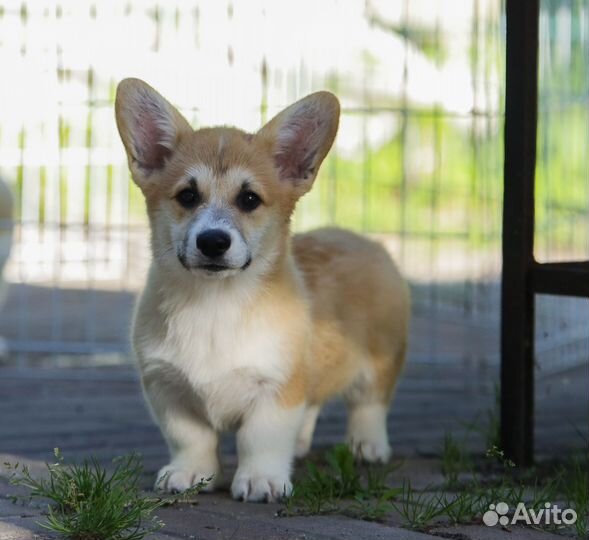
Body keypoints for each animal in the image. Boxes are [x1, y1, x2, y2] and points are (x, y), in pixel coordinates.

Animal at [115, 79, 408, 502]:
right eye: (187, 196)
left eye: (249, 199)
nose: (213, 242)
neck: (215, 303)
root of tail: (362, 239)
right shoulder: (168, 388)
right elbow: (191, 438)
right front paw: (190, 473)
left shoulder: (278, 388)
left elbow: (261, 439)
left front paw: (261, 480)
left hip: (381, 359)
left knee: (370, 405)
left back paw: (368, 446)